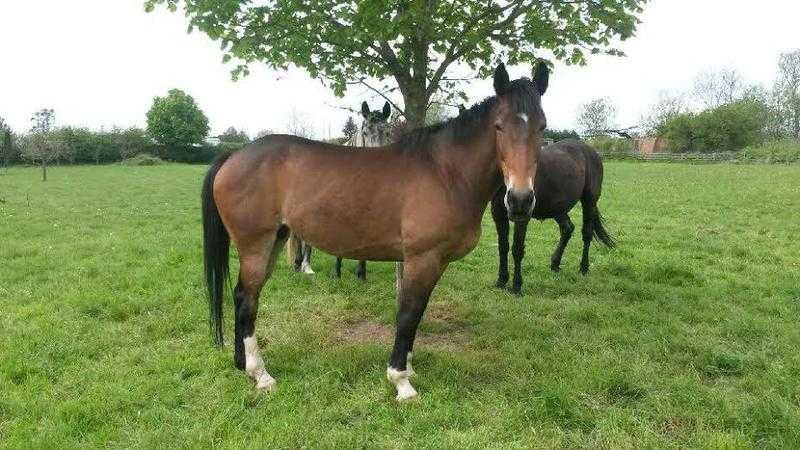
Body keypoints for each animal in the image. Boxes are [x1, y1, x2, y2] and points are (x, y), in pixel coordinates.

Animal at [200, 60, 552, 400]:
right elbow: (409, 314)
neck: (445, 172)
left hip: (275, 240)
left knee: (244, 296)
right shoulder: (422, 258)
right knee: (247, 299)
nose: (520, 200)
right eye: (499, 126)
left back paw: (241, 364)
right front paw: (401, 382)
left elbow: (414, 313)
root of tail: (234, 155)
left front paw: (408, 367)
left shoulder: (427, 262)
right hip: (256, 245)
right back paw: (260, 374)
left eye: (543, 127)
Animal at [490, 139, 616, 298]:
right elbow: (503, 247)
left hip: (589, 200)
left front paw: (516, 287)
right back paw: (555, 264)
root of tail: (591, 151)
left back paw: (583, 268)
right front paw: (501, 281)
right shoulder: (498, 213)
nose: (519, 197)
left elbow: (517, 249)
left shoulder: (522, 215)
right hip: (558, 209)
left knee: (587, 233)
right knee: (567, 228)